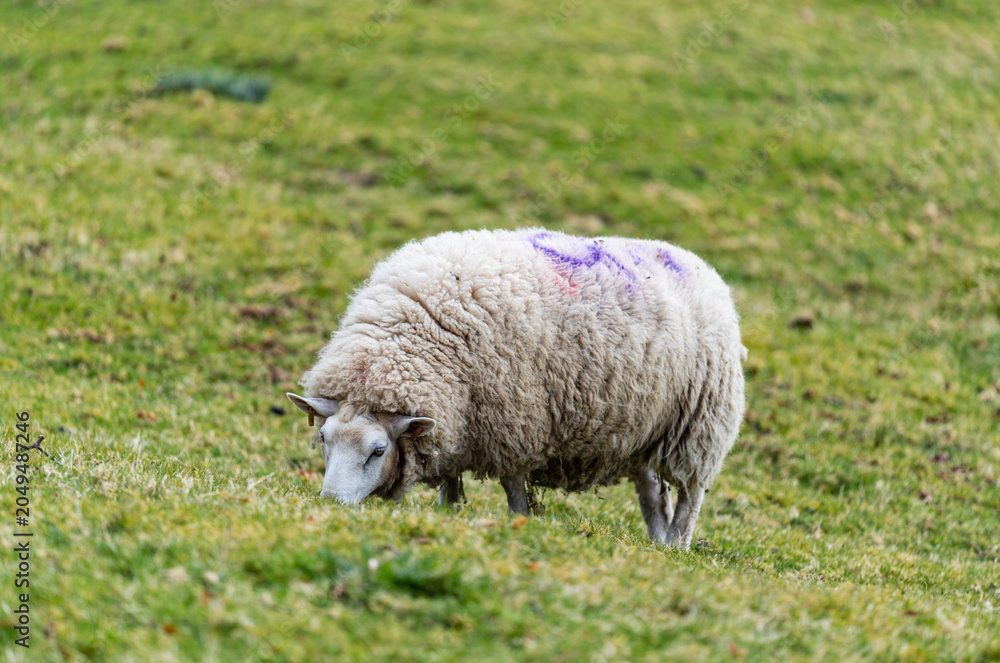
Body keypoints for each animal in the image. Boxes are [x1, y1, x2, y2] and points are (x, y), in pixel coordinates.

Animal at [287, 228, 745, 547]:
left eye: (378, 451)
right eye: (323, 439)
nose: (331, 504)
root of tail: (693, 261)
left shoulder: (514, 421)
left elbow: (512, 486)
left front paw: (518, 521)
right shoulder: (458, 418)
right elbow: (451, 479)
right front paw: (447, 513)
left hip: (701, 425)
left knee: (690, 496)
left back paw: (678, 546)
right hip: (648, 431)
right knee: (653, 495)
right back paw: (657, 544)